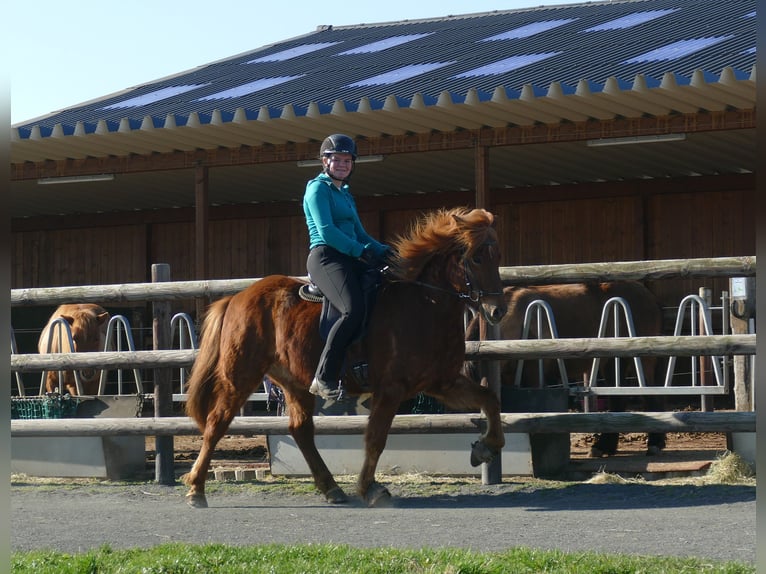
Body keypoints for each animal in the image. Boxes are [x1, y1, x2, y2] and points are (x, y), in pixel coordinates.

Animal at [181, 207, 508, 508]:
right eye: (476, 258)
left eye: (497, 256)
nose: (497, 311)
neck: (424, 303)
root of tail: (236, 297)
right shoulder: (391, 390)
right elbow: (375, 438)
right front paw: (370, 488)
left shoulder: (443, 383)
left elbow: (490, 399)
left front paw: (486, 447)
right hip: (241, 376)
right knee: (217, 423)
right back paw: (196, 489)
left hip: (294, 382)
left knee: (300, 430)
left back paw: (331, 488)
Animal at [465, 282, 665, 457]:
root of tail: (649, 296)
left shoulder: (532, 376)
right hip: (613, 364)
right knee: (619, 402)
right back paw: (605, 446)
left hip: (639, 361)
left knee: (650, 397)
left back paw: (653, 443)